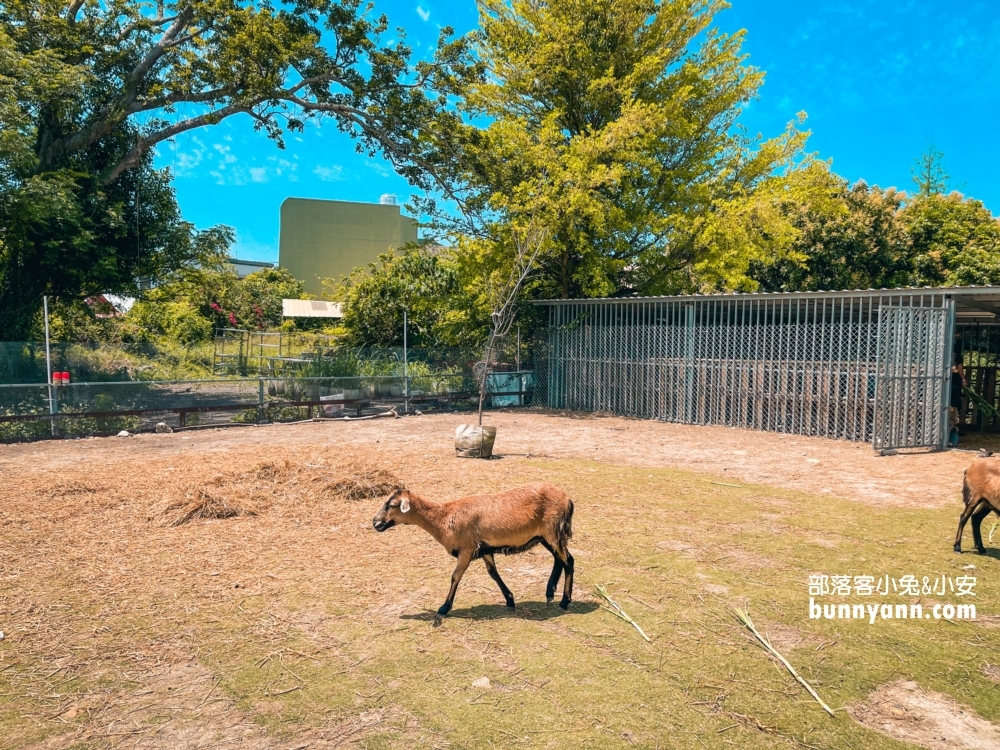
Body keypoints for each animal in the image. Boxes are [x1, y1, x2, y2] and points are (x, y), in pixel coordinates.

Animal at [372, 484, 576, 620]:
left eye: (392, 505)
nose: (375, 523)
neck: (443, 518)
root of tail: (568, 500)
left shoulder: (466, 549)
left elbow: (455, 576)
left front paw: (444, 608)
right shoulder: (485, 548)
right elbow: (493, 573)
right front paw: (510, 600)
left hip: (553, 531)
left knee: (568, 561)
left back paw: (564, 602)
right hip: (546, 536)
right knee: (559, 559)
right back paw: (550, 592)